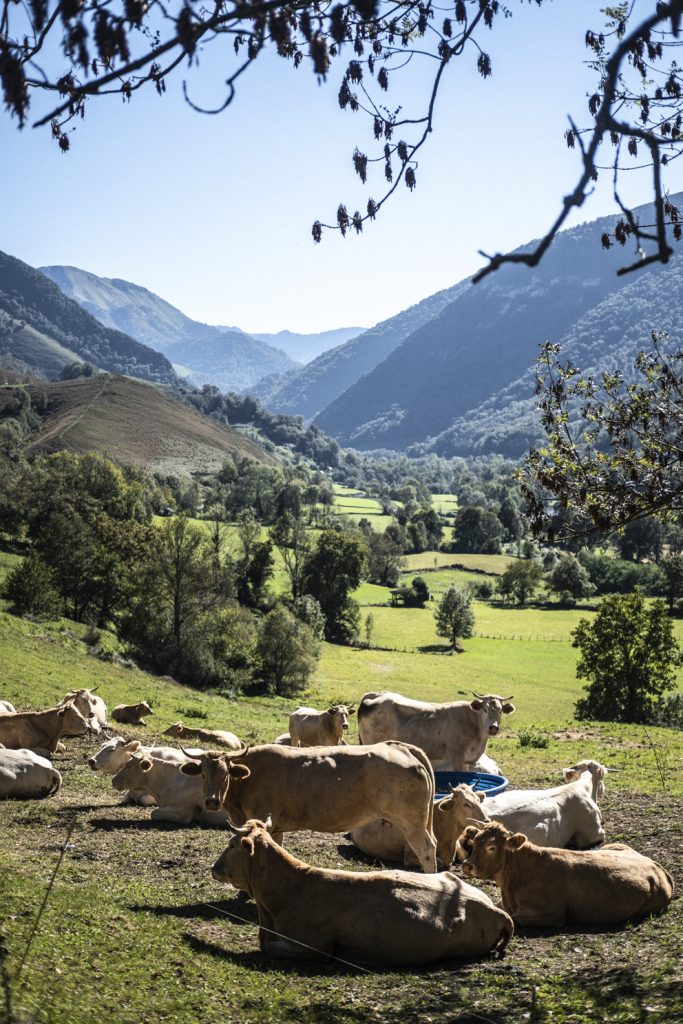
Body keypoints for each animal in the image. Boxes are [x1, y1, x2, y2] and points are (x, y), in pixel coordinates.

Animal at [180, 740, 438, 872]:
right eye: (202, 773)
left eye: (225, 774)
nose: (212, 801)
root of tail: (402, 747)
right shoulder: (276, 826)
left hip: (411, 822)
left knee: (426, 849)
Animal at [357, 690, 515, 770]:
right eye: (485, 709)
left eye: (500, 710)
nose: (493, 727)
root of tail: (375, 695)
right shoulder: (457, 756)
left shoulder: (467, 760)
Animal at [458, 821, 674, 927]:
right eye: (474, 842)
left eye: (492, 847)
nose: (467, 866)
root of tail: (656, 865)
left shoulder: (552, 913)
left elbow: (514, 917)